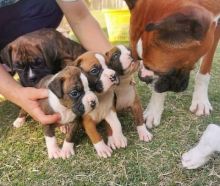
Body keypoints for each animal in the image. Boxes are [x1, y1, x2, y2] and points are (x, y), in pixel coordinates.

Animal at [124, 0, 220, 128]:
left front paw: (200, 100)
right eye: (137, 59)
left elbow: (204, 69)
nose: (142, 77)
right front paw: (154, 109)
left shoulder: (215, 29)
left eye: (161, 70)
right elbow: (159, 87)